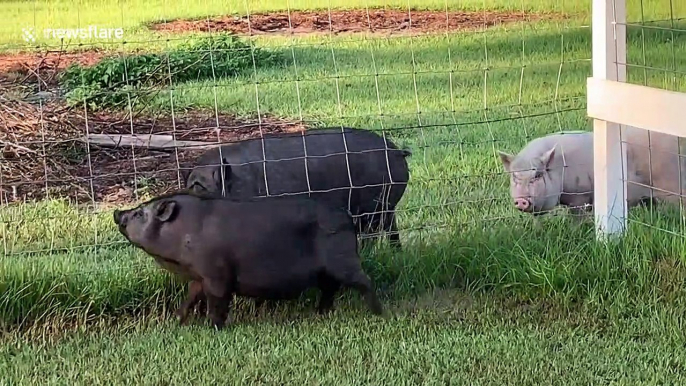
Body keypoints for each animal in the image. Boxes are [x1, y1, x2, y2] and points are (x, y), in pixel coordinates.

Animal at [110, 190, 384, 328]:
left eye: (139, 214)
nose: (117, 212)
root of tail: (347, 217)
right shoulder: (199, 276)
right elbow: (190, 296)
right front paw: (177, 320)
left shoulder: (217, 274)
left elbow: (217, 303)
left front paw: (214, 329)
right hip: (327, 271)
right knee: (330, 288)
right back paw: (320, 314)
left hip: (342, 260)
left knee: (364, 281)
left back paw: (378, 314)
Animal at [183, 127, 412, 247]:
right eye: (190, 183)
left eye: (198, 185)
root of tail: (397, 152)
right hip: (387, 205)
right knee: (392, 230)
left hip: (374, 205)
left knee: (371, 233)